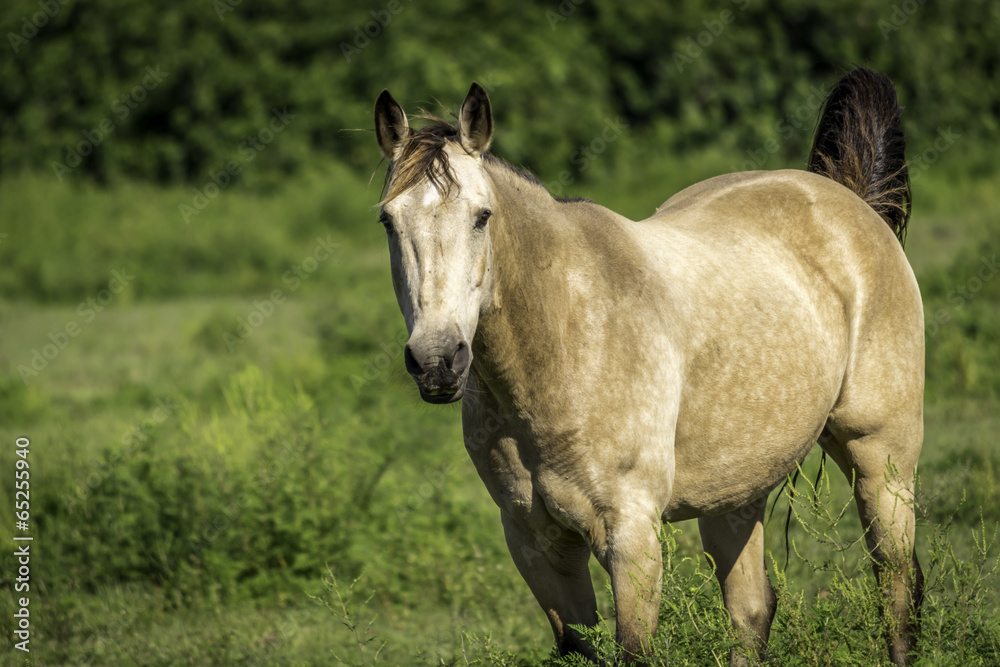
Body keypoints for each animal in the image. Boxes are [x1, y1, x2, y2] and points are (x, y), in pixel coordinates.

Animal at [372, 70, 924, 664]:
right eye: (387, 220)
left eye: (481, 217)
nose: (437, 360)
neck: (562, 346)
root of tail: (847, 200)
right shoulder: (534, 540)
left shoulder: (630, 534)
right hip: (738, 491)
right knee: (752, 612)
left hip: (880, 460)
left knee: (896, 586)